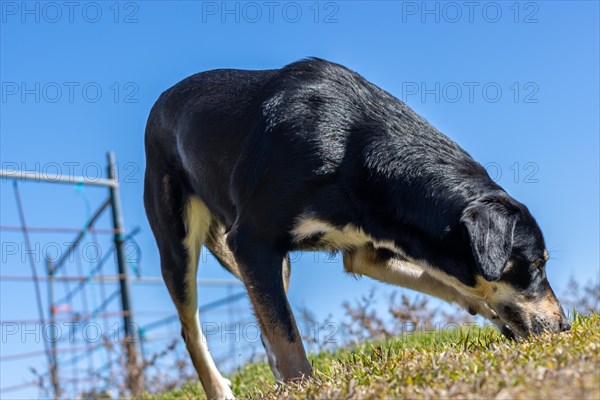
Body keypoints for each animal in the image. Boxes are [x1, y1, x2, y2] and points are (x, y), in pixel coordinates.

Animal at [143, 57, 568, 398]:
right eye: (535, 265)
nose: (565, 326)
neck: (351, 149)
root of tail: (161, 100)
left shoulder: (367, 251)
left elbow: (447, 282)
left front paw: (489, 311)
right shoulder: (251, 241)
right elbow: (288, 338)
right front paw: (304, 389)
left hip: (274, 268)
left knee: (265, 320)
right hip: (180, 244)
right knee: (193, 329)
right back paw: (221, 389)